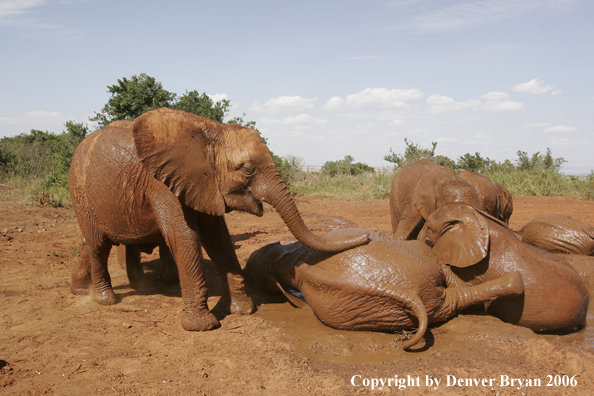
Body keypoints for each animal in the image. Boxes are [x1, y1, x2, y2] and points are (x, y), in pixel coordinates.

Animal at [68, 107, 366, 332]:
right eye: (248, 170)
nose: (365, 236)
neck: (209, 135)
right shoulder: (161, 183)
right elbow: (184, 236)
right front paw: (202, 326)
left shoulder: (202, 183)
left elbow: (219, 239)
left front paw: (244, 310)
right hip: (80, 191)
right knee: (98, 245)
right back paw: (105, 299)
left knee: (91, 243)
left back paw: (96, 291)